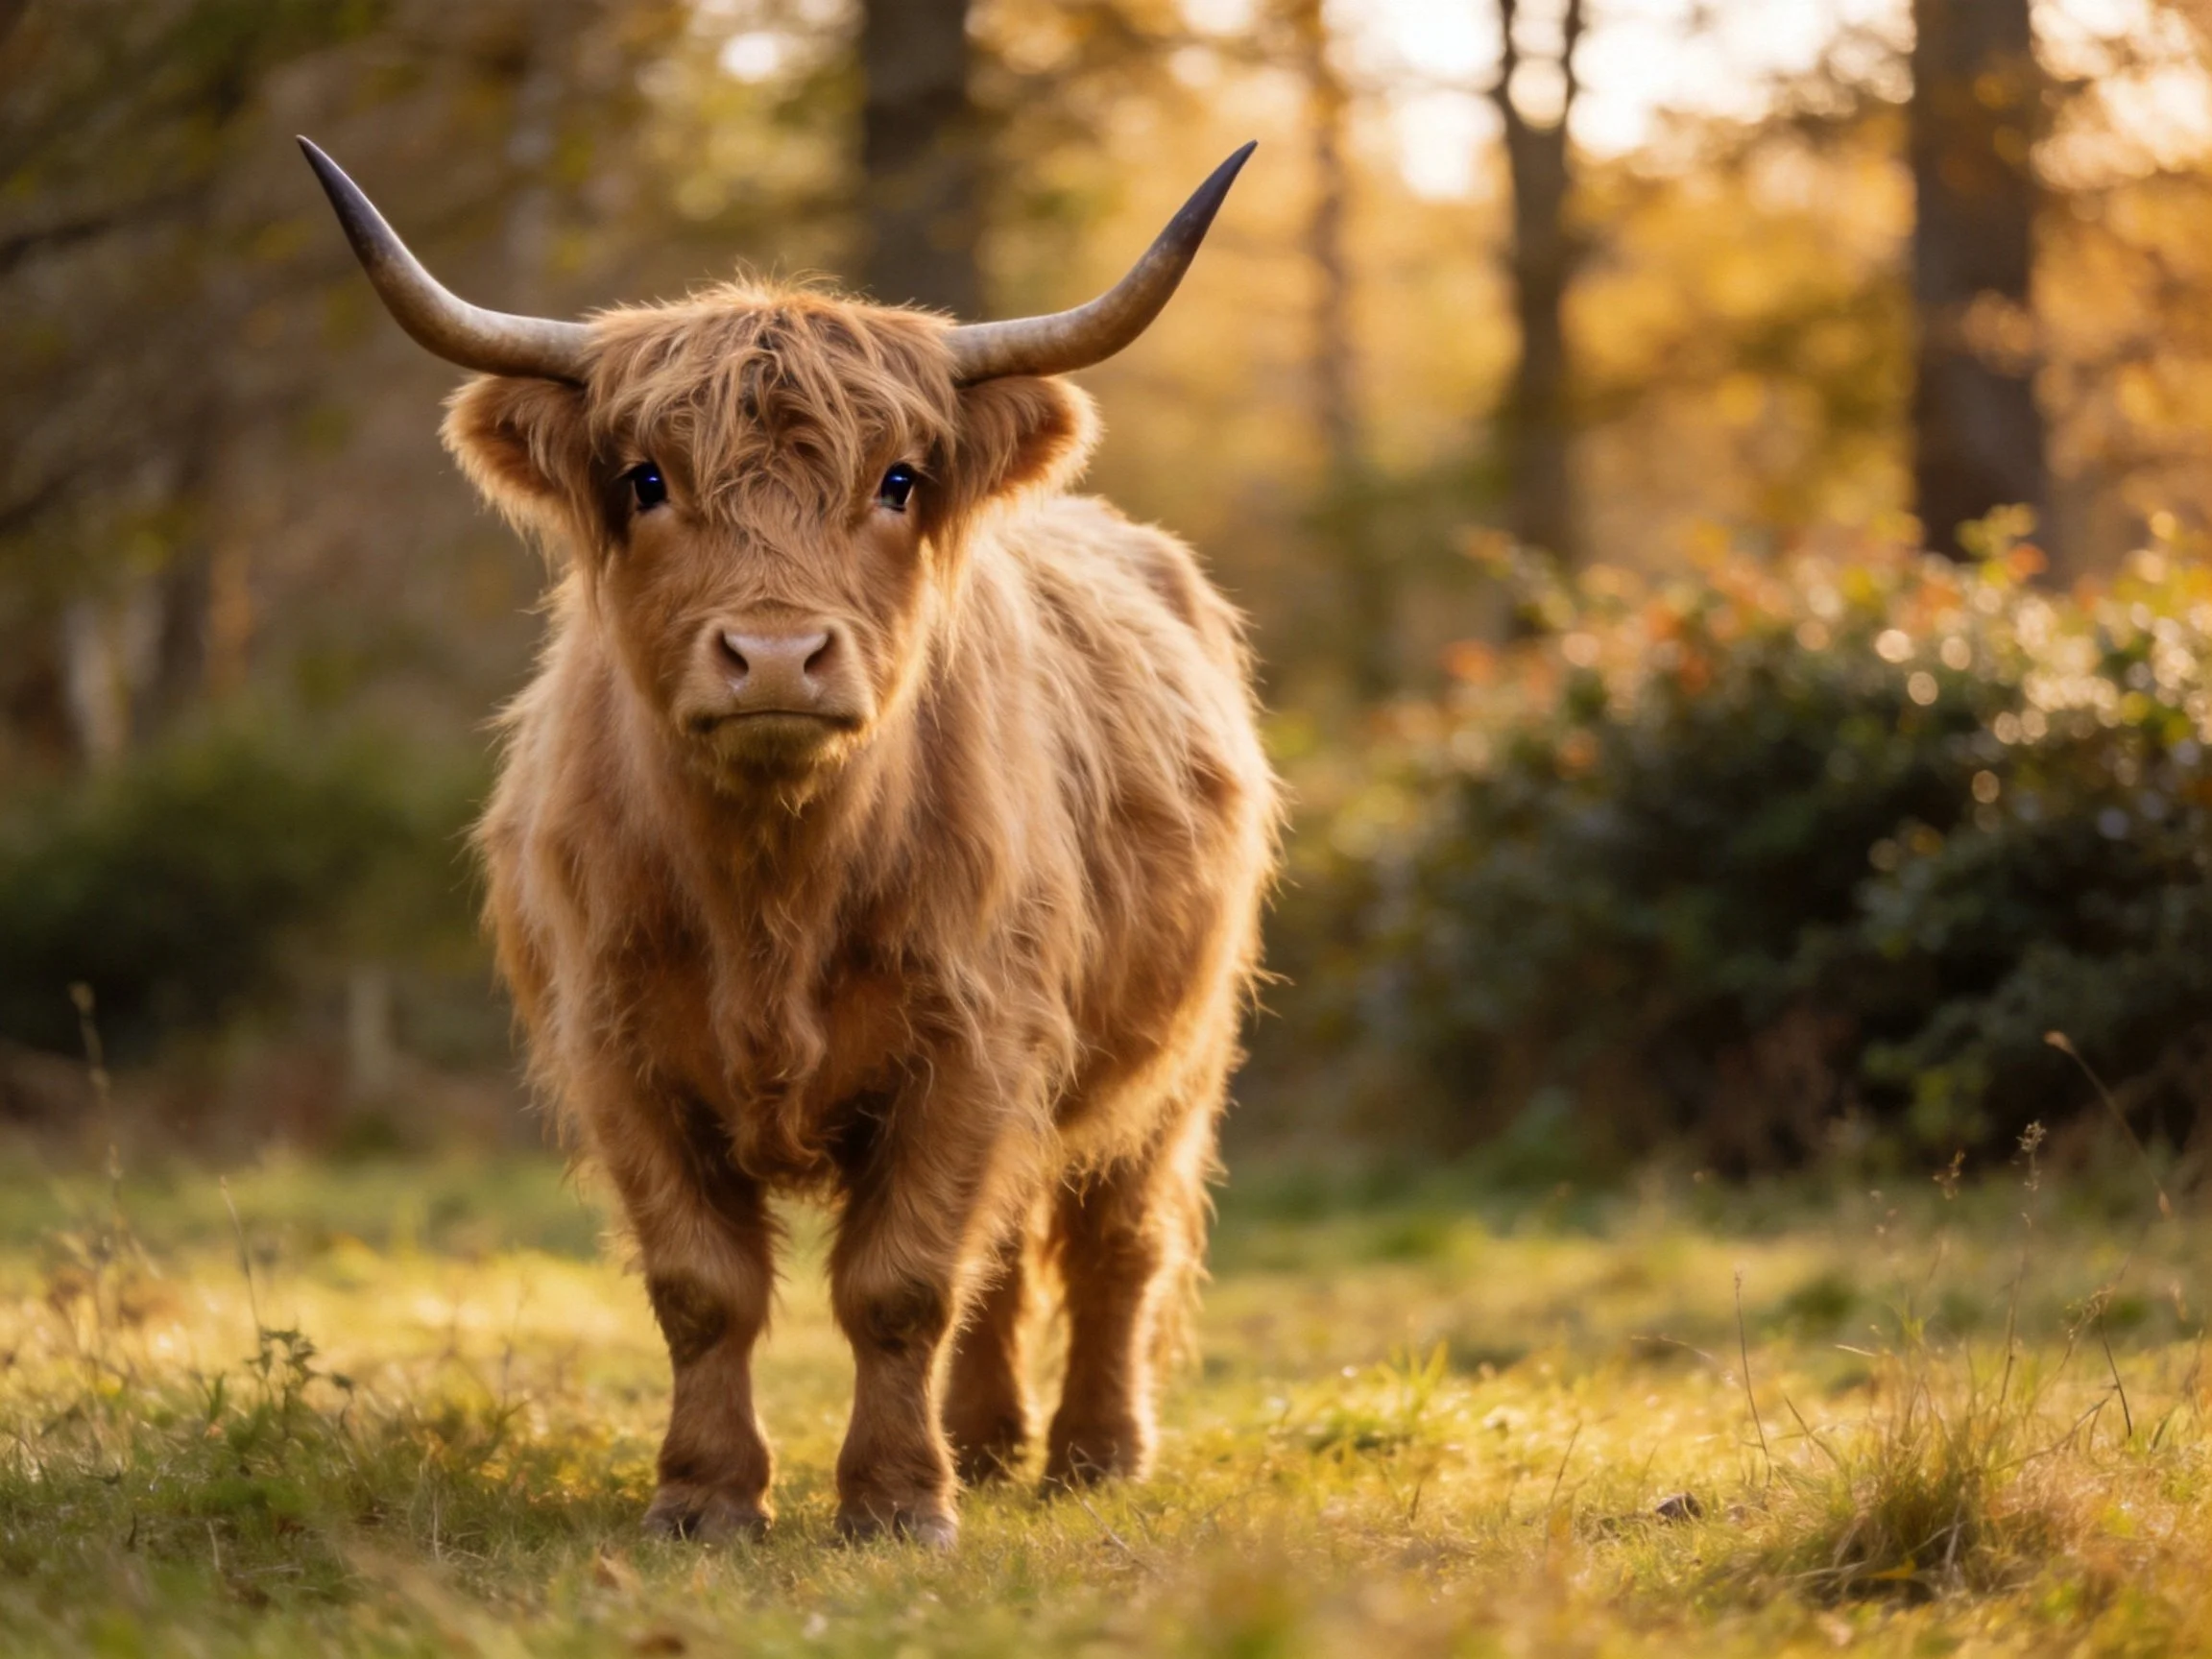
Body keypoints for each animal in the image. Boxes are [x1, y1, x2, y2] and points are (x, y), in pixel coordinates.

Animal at [301, 137, 1279, 1547]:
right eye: (647, 480)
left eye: (898, 479)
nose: (774, 654)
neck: (771, 893)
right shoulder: (619, 1049)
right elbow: (703, 1287)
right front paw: (707, 1497)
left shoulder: (974, 1043)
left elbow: (901, 1284)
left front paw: (897, 1504)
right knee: (1009, 1258)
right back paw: (989, 1442)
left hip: (1177, 1060)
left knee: (1116, 1241)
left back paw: (1095, 1452)